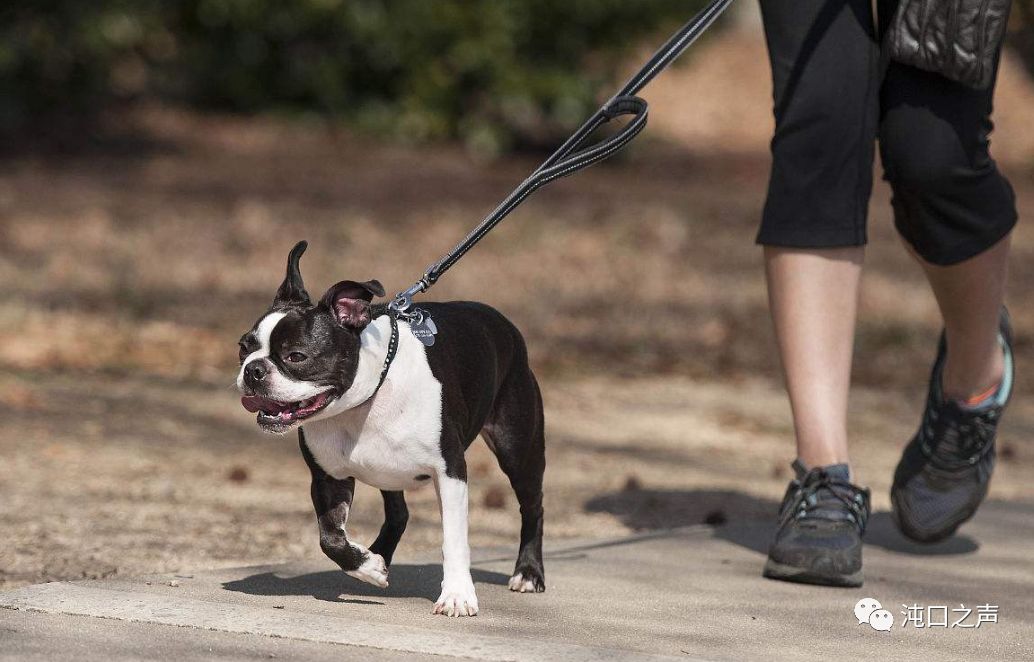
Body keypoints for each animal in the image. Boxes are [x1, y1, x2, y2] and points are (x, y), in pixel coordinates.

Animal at [236, 242, 550, 616]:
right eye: (243, 347)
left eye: (296, 356)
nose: (253, 369)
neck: (363, 402)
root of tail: (503, 322)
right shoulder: (328, 478)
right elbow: (330, 537)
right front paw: (366, 566)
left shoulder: (451, 472)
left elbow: (454, 539)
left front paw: (457, 594)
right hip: (389, 471)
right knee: (399, 512)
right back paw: (377, 556)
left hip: (517, 449)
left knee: (532, 506)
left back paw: (528, 573)